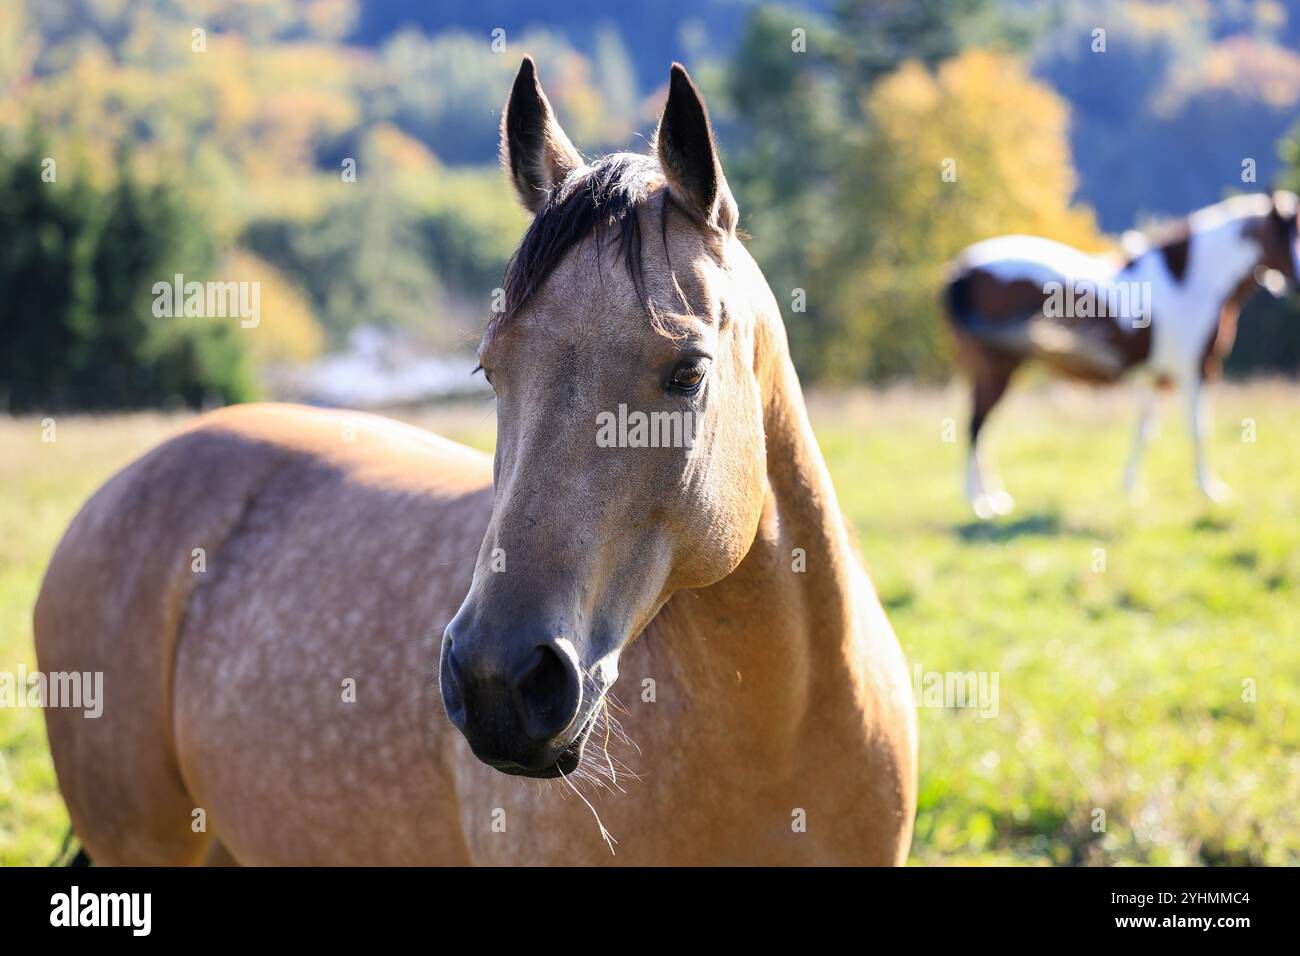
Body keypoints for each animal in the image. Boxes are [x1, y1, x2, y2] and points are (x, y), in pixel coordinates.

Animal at [944, 191, 1300, 519]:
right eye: (1285, 235)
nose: (1297, 283)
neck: (1190, 284)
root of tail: (963, 269)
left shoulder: (1156, 376)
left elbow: (1145, 429)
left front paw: (1132, 489)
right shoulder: (1197, 369)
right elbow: (1198, 428)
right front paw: (1209, 489)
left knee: (983, 429)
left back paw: (993, 497)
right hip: (996, 367)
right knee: (976, 427)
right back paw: (980, 503)